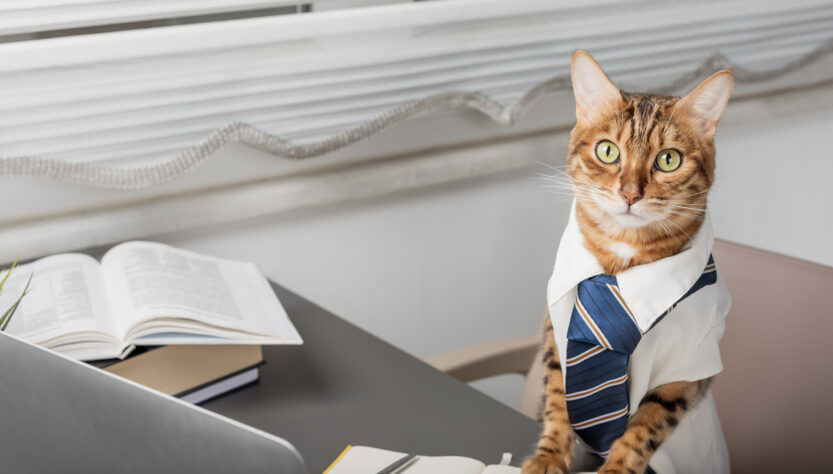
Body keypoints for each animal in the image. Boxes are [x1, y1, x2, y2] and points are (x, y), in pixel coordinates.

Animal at [520, 49, 736, 474]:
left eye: (668, 160)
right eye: (607, 151)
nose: (630, 194)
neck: (620, 261)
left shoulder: (688, 369)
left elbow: (644, 429)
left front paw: (617, 467)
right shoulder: (556, 331)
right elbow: (558, 401)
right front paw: (549, 456)